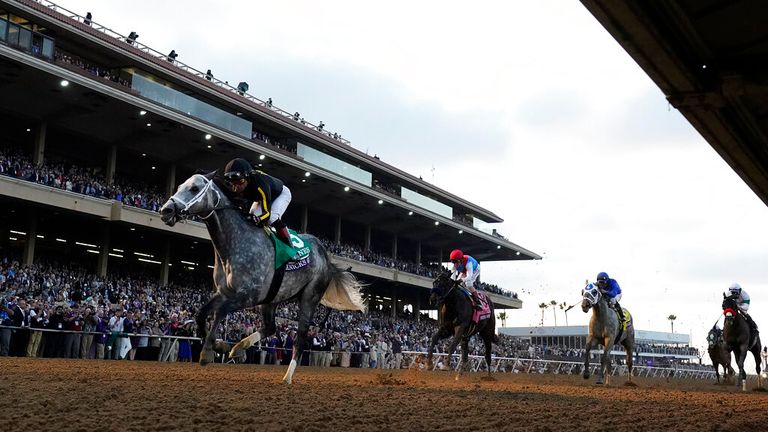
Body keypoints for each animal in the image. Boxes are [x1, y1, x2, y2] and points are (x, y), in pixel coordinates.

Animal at [159, 172, 366, 384]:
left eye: (194, 188)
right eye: (179, 186)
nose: (166, 210)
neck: (235, 244)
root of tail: (326, 257)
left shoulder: (249, 295)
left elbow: (220, 312)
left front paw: (209, 351)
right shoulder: (225, 292)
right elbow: (201, 314)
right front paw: (220, 345)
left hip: (310, 297)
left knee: (300, 338)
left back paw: (287, 377)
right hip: (271, 299)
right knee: (271, 328)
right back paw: (239, 347)